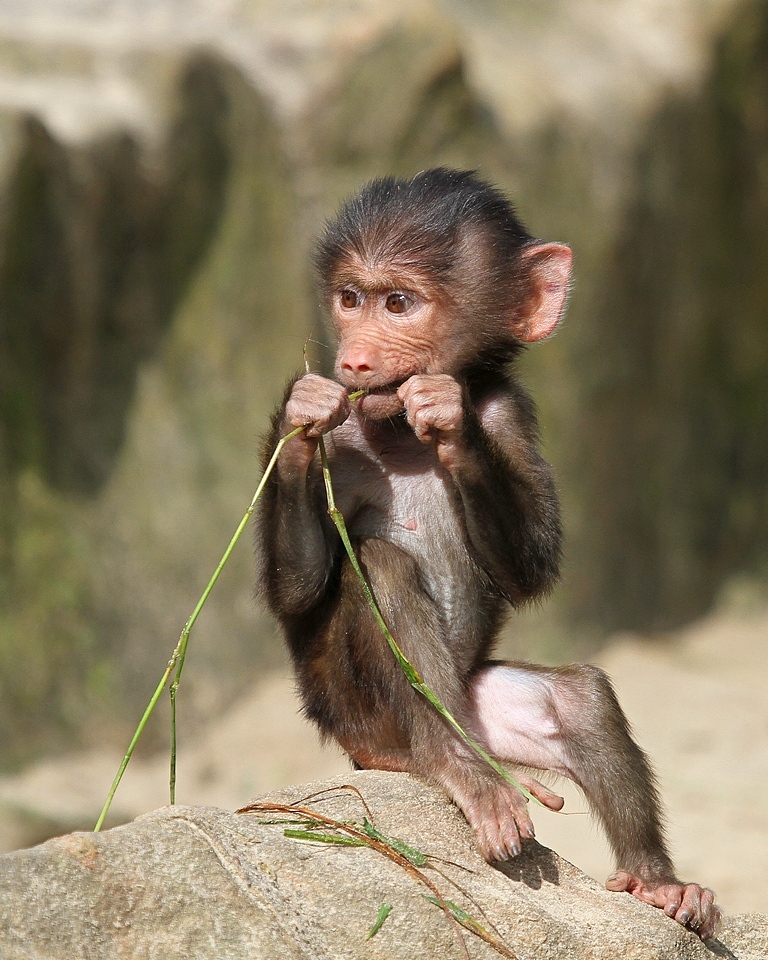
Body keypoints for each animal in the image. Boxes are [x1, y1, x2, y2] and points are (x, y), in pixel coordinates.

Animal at [258, 171, 720, 936]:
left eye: (399, 303)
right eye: (349, 298)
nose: (352, 359)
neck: (395, 437)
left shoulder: (509, 410)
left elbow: (531, 565)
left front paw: (448, 418)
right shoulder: (348, 438)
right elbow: (296, 590)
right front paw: (303, 412)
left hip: (485, 708)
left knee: (579, 696)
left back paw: (658, 885)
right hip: (362, 717)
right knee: (383, 570)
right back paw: (458, 772)